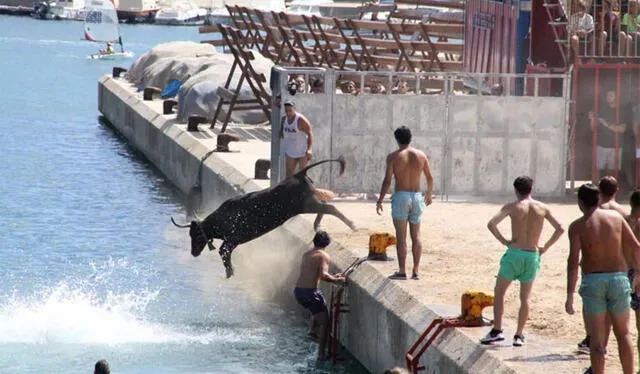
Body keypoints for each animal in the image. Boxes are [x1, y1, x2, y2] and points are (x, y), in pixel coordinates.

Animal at [172, 157, 358, 278]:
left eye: (195, 235)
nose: (193, 252)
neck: (218, 221)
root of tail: (298, 175)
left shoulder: (231, 241)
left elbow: (223, 252)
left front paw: (230, 271)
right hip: (309, 203)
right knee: (326, 204)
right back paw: (317, 225)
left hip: (306, 205)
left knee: (330, 207)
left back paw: (352, 225)